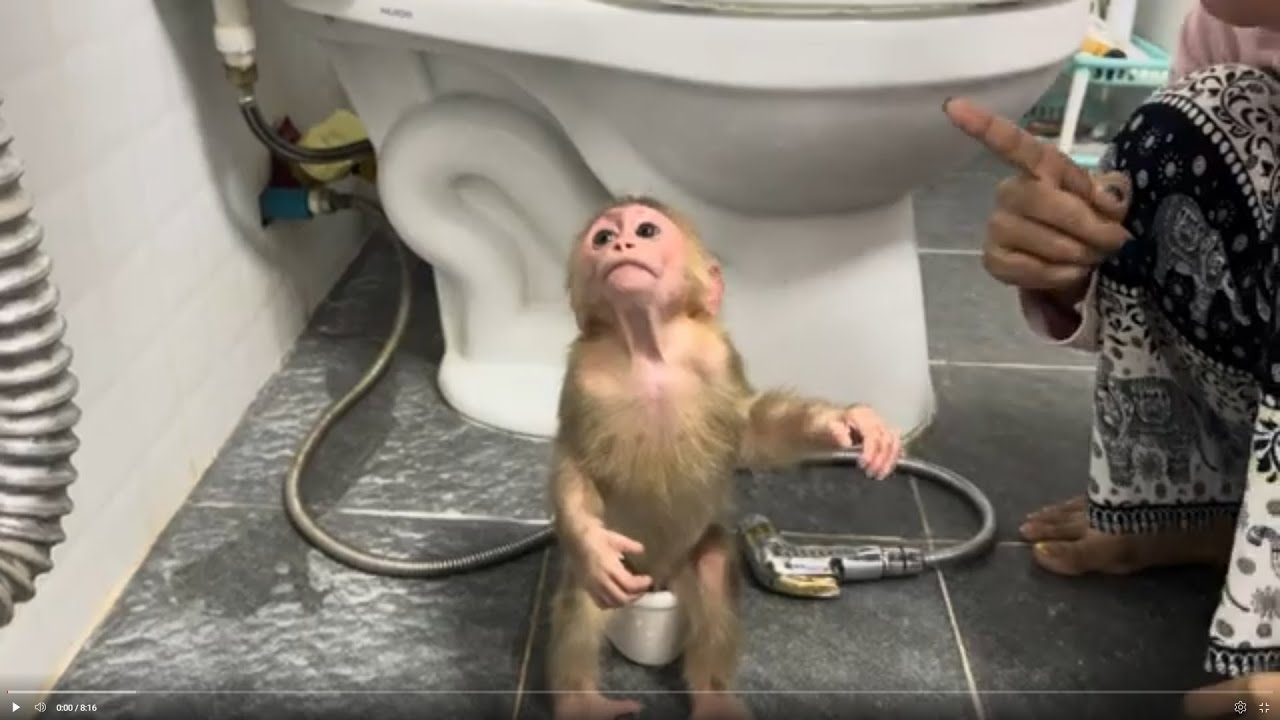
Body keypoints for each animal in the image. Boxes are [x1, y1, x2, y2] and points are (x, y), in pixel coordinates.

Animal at [547, 196, 903, 720]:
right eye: (603, 238)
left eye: (646, 230)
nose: (622, 245)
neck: (648, 351)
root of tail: (658, 577)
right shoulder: (583, 375)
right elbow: (575, 461)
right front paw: (592, 546)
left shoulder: (717, 357)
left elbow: (751, 431)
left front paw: (845, 422)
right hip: (629, 568)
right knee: (583, 596)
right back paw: (581, 702)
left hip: (689, 559)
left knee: (714, 572)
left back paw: (715, 700)